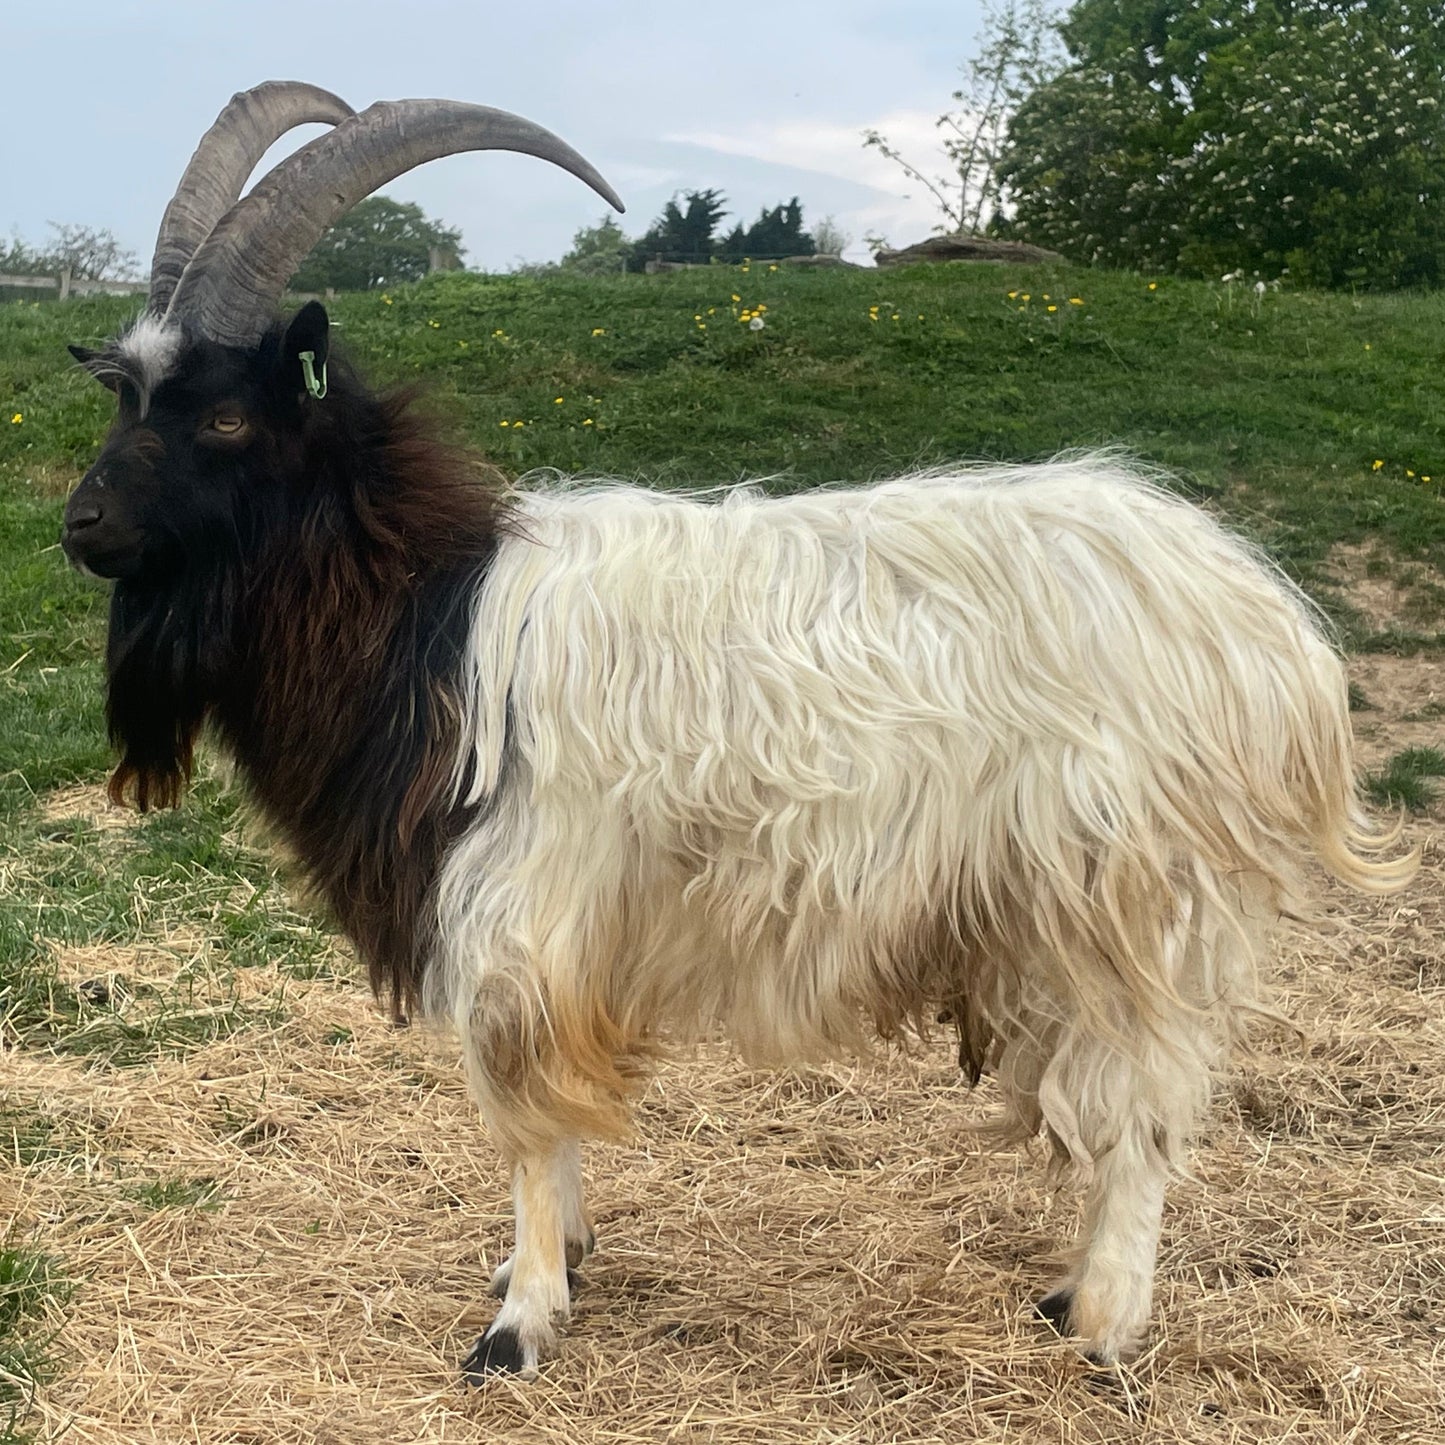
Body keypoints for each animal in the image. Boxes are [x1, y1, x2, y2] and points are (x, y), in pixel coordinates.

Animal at [61, 82, 1414, 1381]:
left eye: (226, 417)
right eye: (125, 393)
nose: (80, 523)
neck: (432, 615)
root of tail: (1271, 636)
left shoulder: (518, 905)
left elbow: (524, 1111)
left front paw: (519, 1324)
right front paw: (550, 1267)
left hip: (1124, 899)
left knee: (1141, 1105)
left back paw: (1100, 1328)